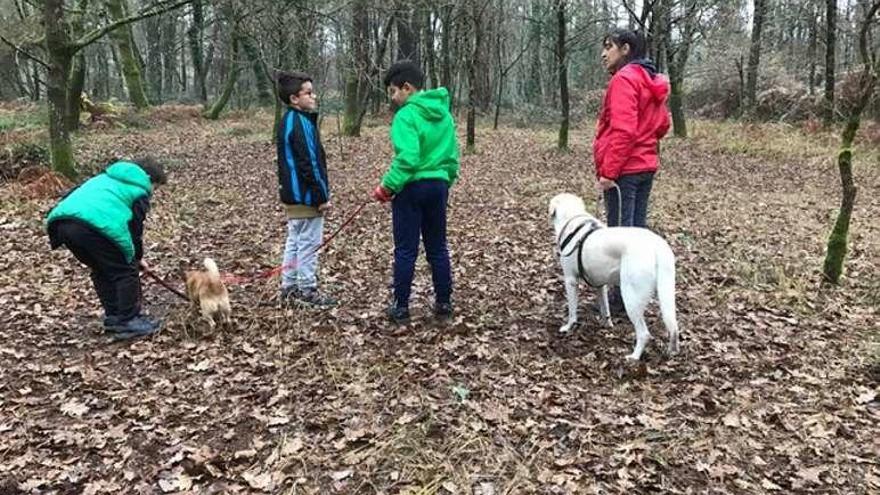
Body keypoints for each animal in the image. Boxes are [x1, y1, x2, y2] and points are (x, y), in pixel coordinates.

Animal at [552, 193, 680, 360]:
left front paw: (568, 327)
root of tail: (657, 247)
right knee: (674, 327)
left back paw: (634, 357)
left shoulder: (570, 280)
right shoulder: (600, 284)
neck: (573, 220)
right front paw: (607, 324)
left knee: (644, 333)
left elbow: (572, 311)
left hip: (631, 297)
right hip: (665, 294)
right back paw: (671, 351)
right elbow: (605, 307)